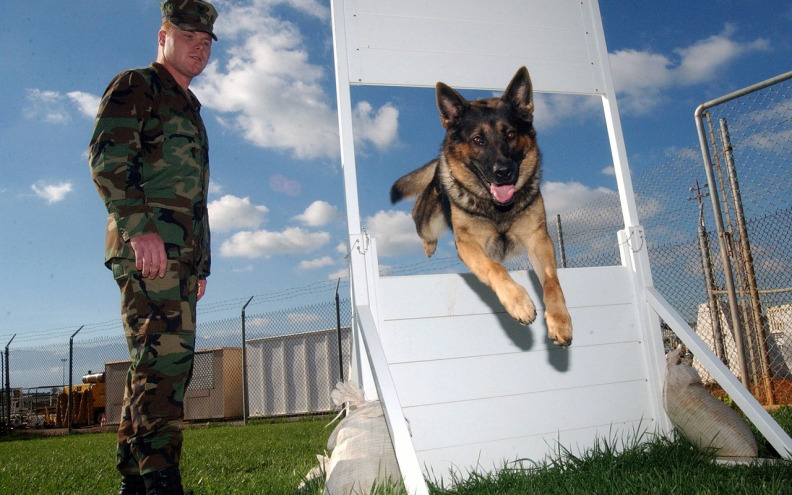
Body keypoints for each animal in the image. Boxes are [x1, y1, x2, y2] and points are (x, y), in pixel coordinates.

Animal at [392, 66, 572, 348]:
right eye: (478, 140)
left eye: (510, 134)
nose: (503, 172)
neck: (498, 208)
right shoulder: (468, 246)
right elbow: (494, 267)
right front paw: (518, 300)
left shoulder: (538, 239)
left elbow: (552, 282)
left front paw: (560, 321)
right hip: (429, 220)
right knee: (419, 220)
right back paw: (428, 245)